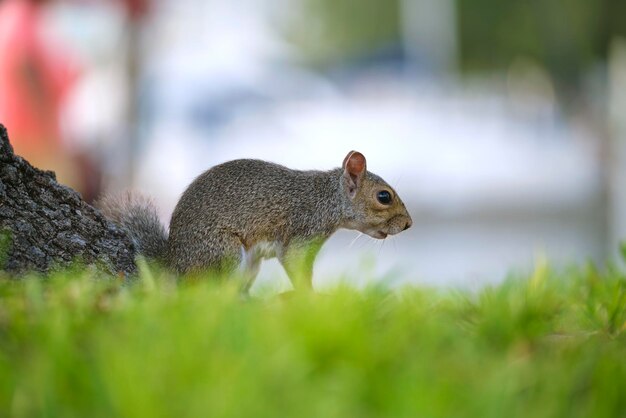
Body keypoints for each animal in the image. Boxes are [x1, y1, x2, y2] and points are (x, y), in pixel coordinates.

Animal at [98, 152, 410, 292]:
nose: (408, 224)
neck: (326, 200)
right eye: (384, 196)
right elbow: (296, 266)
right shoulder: (301, 233)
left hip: (248, 266)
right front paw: (310, 298)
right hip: (224, 252)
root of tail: (174, 261)